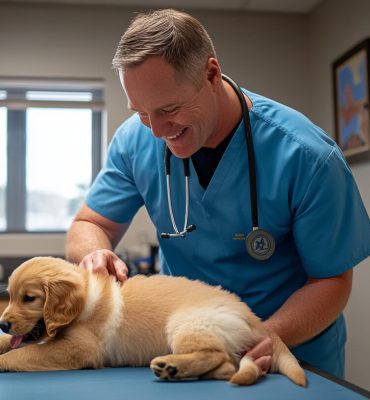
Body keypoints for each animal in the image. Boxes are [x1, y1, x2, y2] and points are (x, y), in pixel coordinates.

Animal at [0, 258, 306, 386]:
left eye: (29, 298)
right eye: (10, 296)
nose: (3, 323)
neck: (86, 298)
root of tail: (253, 317)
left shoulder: (79, 349)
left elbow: (26, 353)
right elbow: (15, 345)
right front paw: (3, 340)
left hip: (186, 324)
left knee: (218, 357)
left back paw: (171, 367)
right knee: (228, 366)